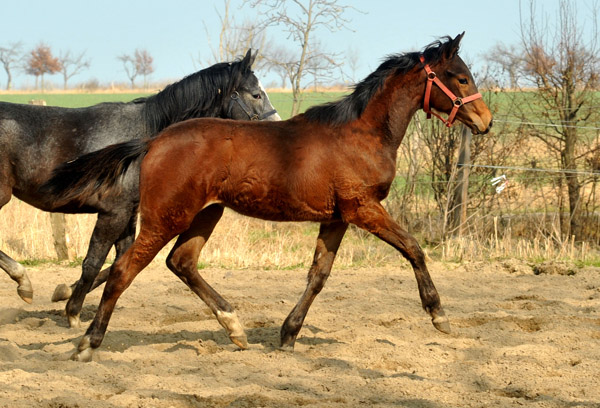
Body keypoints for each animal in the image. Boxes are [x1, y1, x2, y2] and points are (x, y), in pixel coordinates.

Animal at [0, 49, 282, 328]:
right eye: (256, 94)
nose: (277, 129)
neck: (145, 138)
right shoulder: (113, 212)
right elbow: (93, 263)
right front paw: (73, 312)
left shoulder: (127, 214)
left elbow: (119, 260)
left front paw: (64, 292)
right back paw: (24, 283)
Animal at [41, 33, 492, 362]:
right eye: (461, 77)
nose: (485, 121)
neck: (361, 135)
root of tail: (154, 140)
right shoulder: (363, 208)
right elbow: (414, 248)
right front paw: (438, 315)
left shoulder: (337, 217)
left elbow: (318, 276)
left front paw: (288, 335)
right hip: (166, 217)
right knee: (123, 271)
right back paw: (88, 343)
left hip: (206, 213)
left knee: (180, 262)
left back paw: (234, 328)